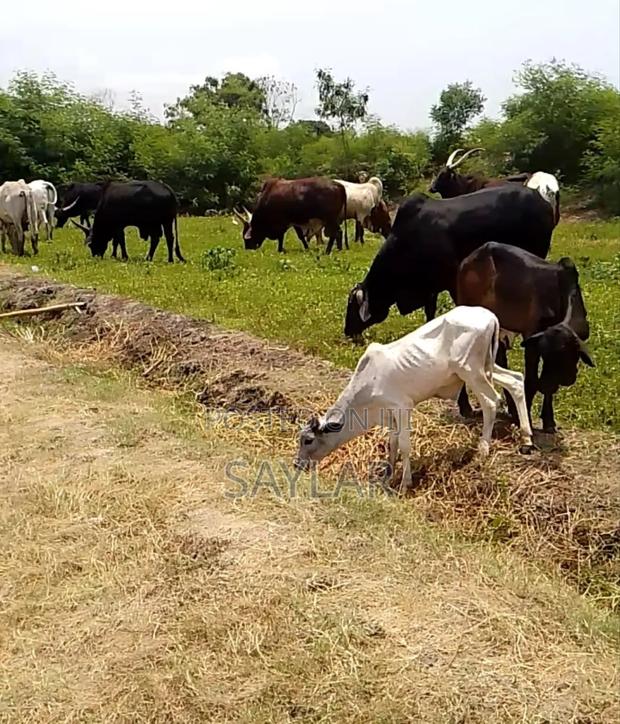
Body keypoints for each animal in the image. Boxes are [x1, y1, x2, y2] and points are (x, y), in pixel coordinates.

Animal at [295, 306, 533, 494]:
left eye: (308, 440)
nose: (297, 465)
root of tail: (490, 316)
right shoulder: (389, 414)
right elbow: (392, 443)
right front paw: (388, 474)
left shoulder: (402, 407)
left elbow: (404, 444)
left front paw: (404, 483)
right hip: (486, 367)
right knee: (515, 381)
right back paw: (526, 437)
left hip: (471, 371)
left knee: (491, 401)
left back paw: (484, 449)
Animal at [344, 184, 555, 338]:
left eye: (352, 306)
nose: (347, 331)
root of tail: (541, 199)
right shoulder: (429, 287)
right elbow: (430, 312)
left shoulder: (452, 281)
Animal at [456, 242, 593, 433]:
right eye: (548, 356)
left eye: (566, 355)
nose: (567, 379)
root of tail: (468, 260)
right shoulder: (531, 340)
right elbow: (531, 381)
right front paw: (524, 419)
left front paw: (548, 421)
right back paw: (466, 407)